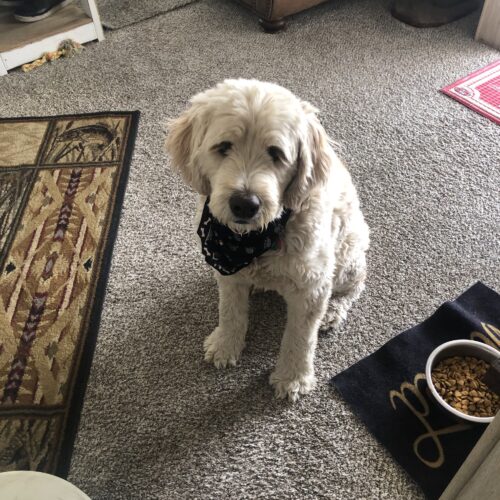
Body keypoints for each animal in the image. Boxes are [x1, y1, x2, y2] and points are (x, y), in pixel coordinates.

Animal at [166, 79, 369, 401]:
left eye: (276, 153)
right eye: (223, 147)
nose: (244, 204)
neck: (252, 241)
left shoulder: (312, 286)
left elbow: (300, 337)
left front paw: (293, 378)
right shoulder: (227, 272)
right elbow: (230, 311)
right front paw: (225, 344)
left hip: (347, 255)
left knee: (354, 286)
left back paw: (333, 312)